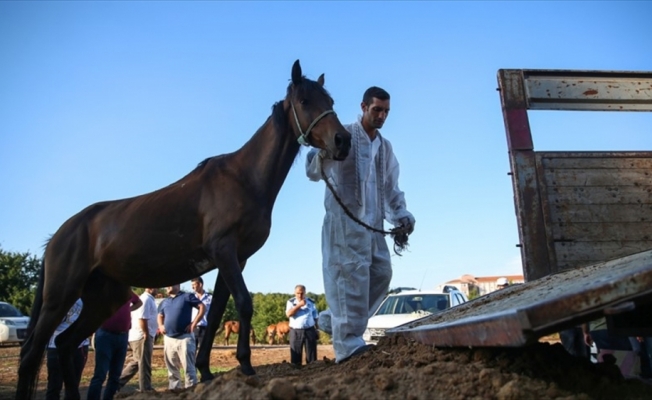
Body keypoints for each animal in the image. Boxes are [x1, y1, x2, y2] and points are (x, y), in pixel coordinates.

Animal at [16, 60, 352, 400]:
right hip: (60, 296)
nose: (343, 140)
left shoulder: (235, 259)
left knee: (65, 343)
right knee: (32, 352)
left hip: (103, 299)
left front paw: (205, 370)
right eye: (304, 101)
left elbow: (215, 314)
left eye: (330, 101)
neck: (243, 178)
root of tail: (59, 235)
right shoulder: (224, 250)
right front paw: (246, 366)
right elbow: (244, 304)